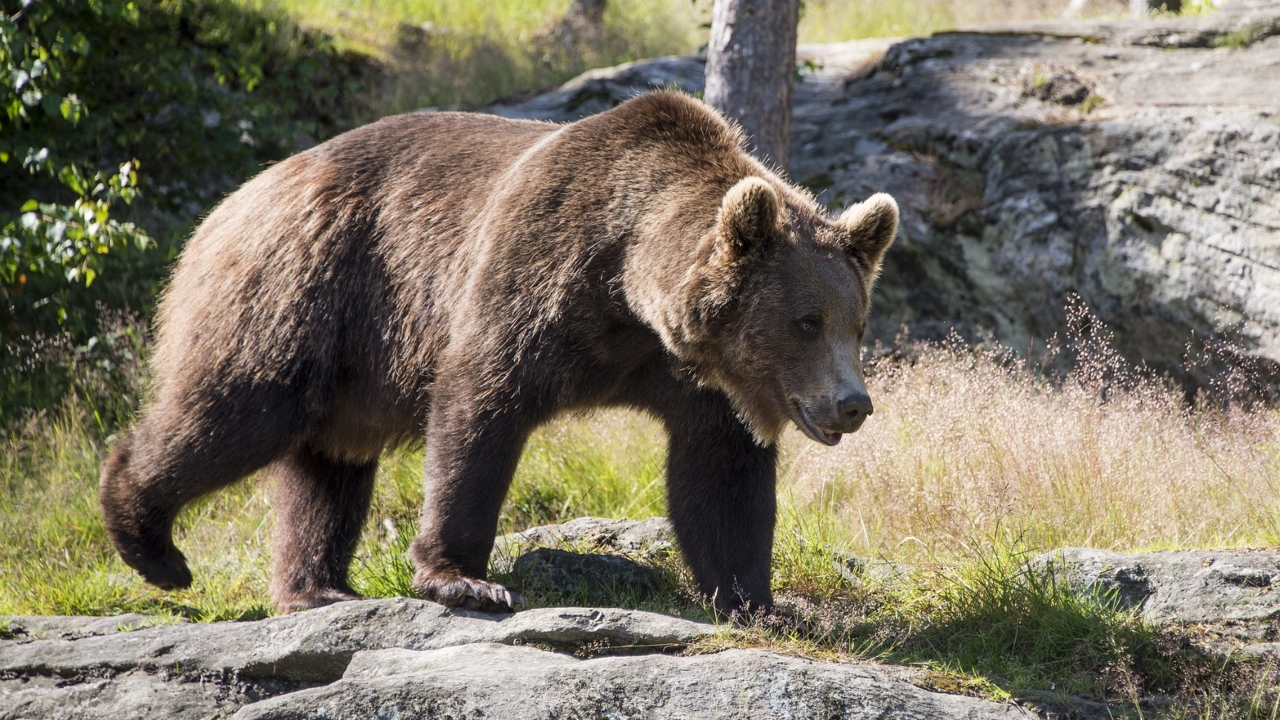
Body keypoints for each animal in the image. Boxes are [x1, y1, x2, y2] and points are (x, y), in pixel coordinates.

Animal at [99, 91, 899, 615]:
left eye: (856, 322)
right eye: (805, 321)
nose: (852, 404)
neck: (627, 290)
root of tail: (234, 199)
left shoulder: (693, 376)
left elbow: (720, 476)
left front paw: (757, 601)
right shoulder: (534, 276)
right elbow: (480, 408)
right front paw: (465, 577)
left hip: (347, 364)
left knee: (328, 466)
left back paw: (317, 586)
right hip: (302, 290)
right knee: (238, 411)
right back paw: (151, 542)